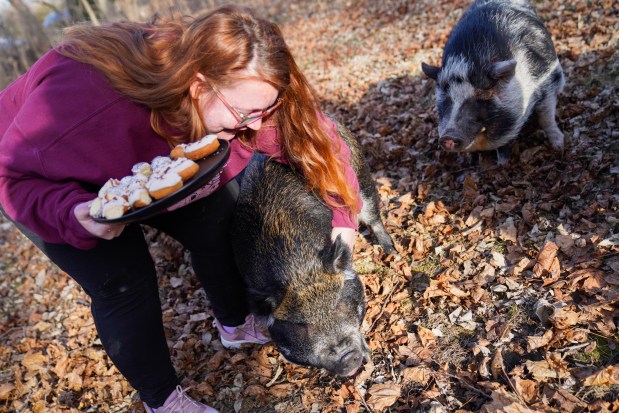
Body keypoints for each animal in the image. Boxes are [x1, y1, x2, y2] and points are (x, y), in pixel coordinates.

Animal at [230, 120, 394, 374]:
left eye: (338, 305)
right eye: (301, 325)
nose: (348, 357)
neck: (298, 268)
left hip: (361, 179)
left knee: (372, 213)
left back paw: (391, 250)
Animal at [422, 0, 568, 159]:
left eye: (481, 96)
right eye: (447, 98)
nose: (448, 136)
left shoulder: (547, 79)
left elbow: (546, 117)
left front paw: (559, 146)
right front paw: (502, 160)